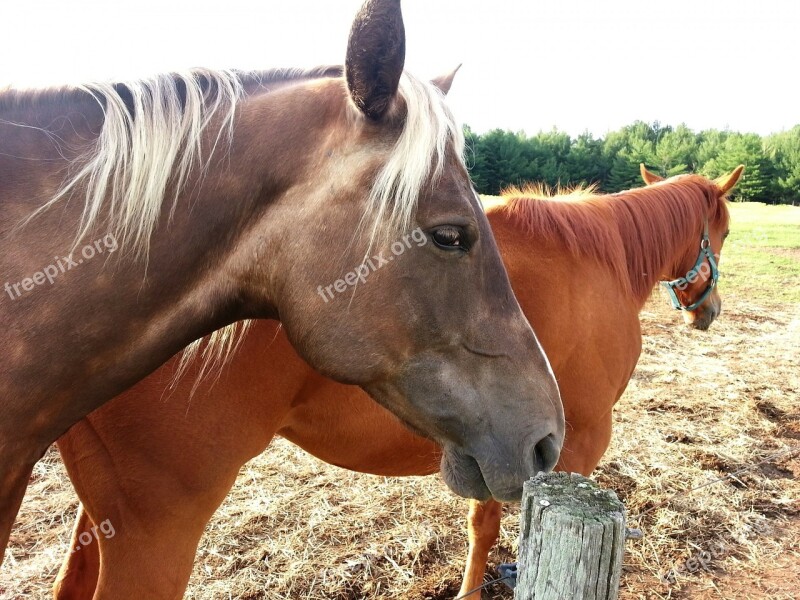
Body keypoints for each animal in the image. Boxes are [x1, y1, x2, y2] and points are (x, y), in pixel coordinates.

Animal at [47, 166, 740, 596]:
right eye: (726, 231)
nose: (708, 310)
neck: (603, 258)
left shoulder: (507, 452)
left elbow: (483, 525)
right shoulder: (574, 451)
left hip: (104, 517)